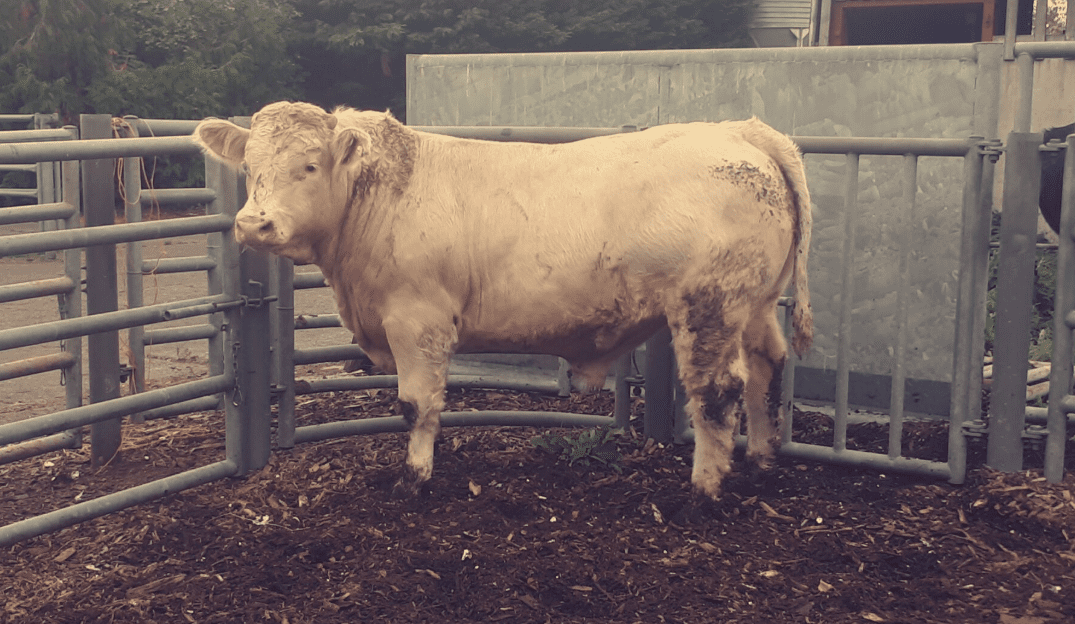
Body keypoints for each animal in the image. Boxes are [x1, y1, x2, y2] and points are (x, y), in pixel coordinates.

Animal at [193, 102, 813, 500]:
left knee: (717, 392)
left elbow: (417, 405)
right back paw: (760, 462)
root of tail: (742, 132)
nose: (253, 223)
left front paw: (414, 478)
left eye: (310, 164)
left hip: (708, 308)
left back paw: (704, 489)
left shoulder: (418, 322)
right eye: (249, 167)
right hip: (756, 305)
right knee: (767, 369)